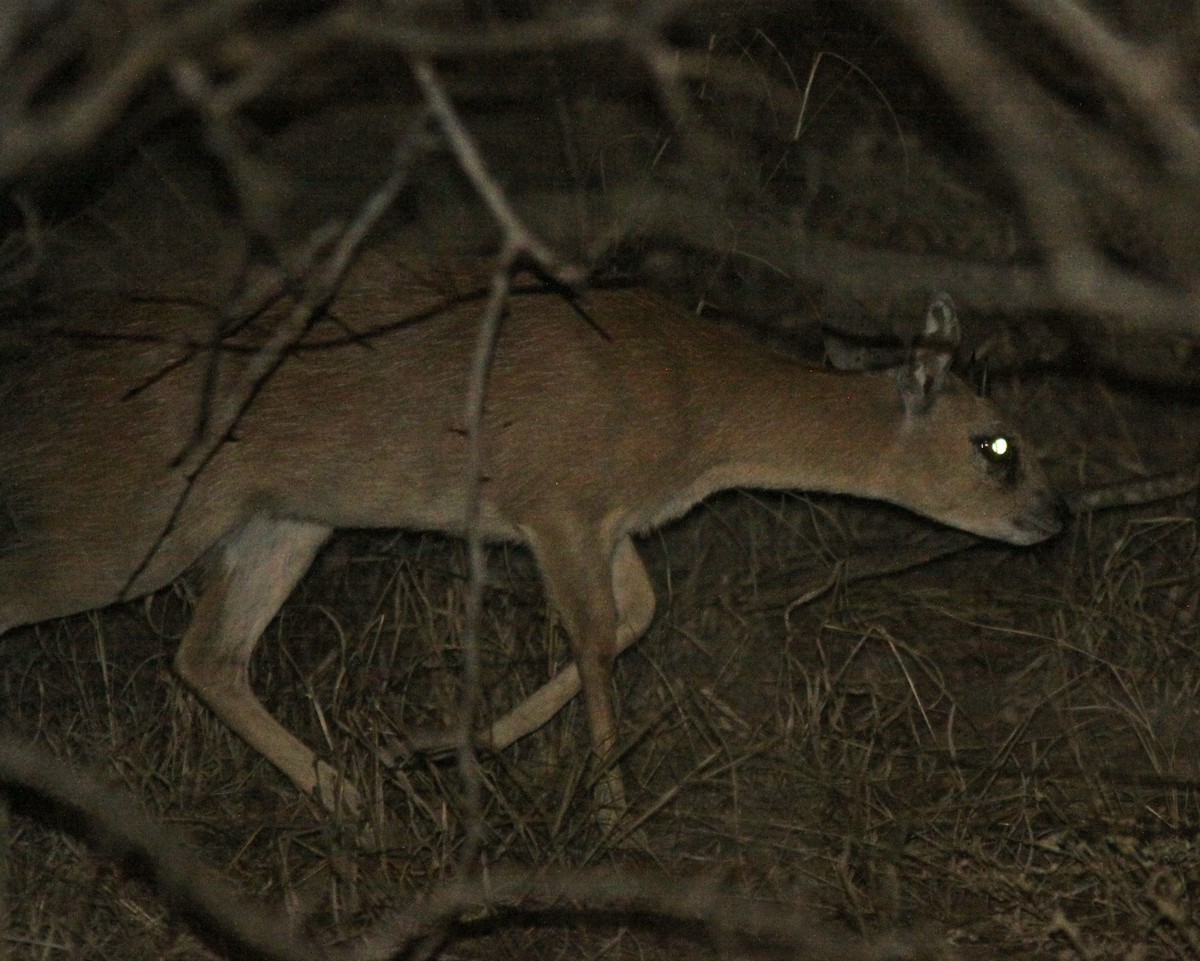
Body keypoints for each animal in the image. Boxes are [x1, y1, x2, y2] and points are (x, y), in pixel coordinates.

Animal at [0, 254, 1065, 815]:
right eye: (997, 442)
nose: (1054, 518)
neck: (697, 407)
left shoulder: (610, 517)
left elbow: (637, 616)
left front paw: (435, 744)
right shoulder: (554, 502)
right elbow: (597, 639)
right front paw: (614, 810)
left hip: (284, 521)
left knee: (207, 655)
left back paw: (356, 799)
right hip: (130, 521)